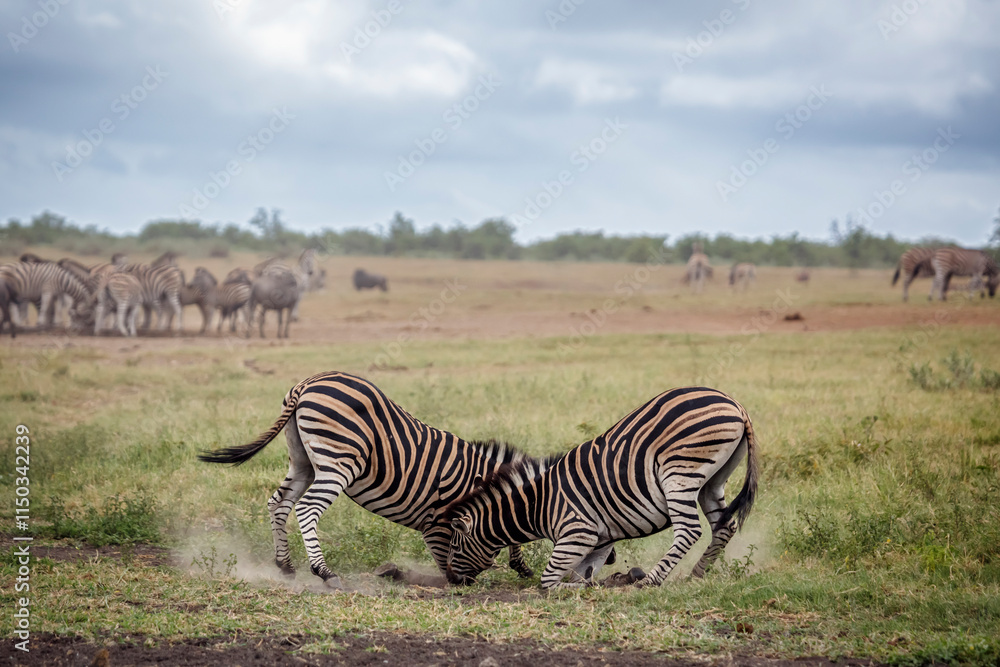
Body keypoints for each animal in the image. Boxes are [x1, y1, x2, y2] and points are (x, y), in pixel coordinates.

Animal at [197, 371, 536, 588]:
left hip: (303, 461)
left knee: (278, 503)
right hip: (339, 463)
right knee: (306, 508)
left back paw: (285, 565)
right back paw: (324, 572)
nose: (466, 581)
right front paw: (447, 579)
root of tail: (306, 384)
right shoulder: (438, 524)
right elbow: (443, 556)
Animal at [444, 386, 759, 590]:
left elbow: (549, 581)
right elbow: (581, 575)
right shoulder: (600, 540)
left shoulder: (577, 532)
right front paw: (609, 580)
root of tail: (735, 404)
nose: (451, 580)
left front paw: (597, 585)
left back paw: (651, 580)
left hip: (679, 472)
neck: (540, 505)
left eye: (456, 546)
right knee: (724, 526)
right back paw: (697, 573)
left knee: (689, 530)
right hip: (712, 480)